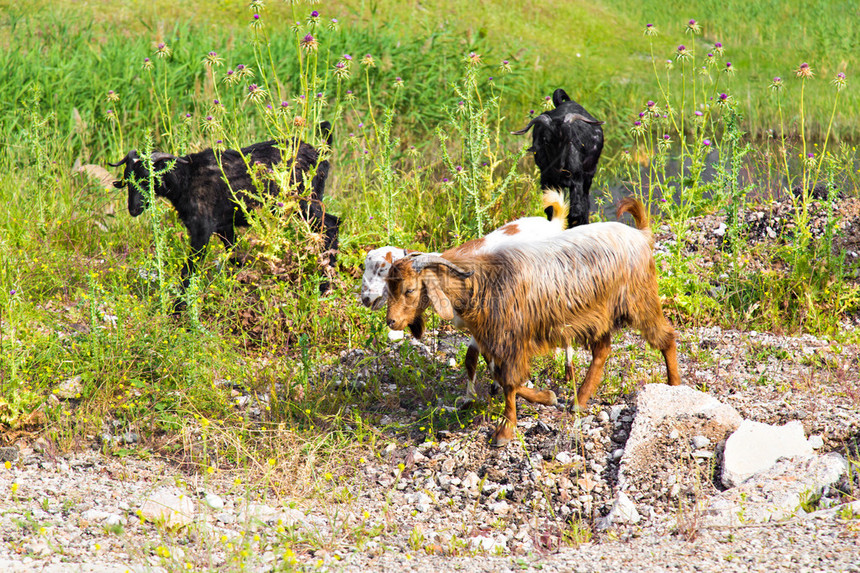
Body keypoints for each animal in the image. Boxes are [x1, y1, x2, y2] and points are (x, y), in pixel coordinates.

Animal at [107, 123, 336, 298]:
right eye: (127, 179)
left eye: (148, 178)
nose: (133, 209)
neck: (186, 178)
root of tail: (320, 154)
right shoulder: (225, 226)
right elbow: (235, 256)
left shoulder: (202, 228)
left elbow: (188, 270)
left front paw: (179, 309)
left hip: (305, 203)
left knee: (330, 225)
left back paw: (326, 283)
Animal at [386, 200, 680, 446]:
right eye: (389, 287)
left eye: (410, 290)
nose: (391, 321)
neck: (483, 281)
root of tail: (640, 234)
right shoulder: (497, 342)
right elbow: (503, 378)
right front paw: (546, 397)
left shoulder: (512, 340)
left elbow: (508, 382)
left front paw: (505, 431)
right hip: (597, 315)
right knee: (602, 350)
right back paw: (579, 401)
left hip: (639, 299)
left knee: (665, 336)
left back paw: (674, 386)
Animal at [510, 88, 604, 227]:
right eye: (546, 141)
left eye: (569, 140)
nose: (559, 167)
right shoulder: (547, 180)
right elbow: (550, 209)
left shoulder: (577, 180)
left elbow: (575, 212)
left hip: (589, 174)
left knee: (585, 203)